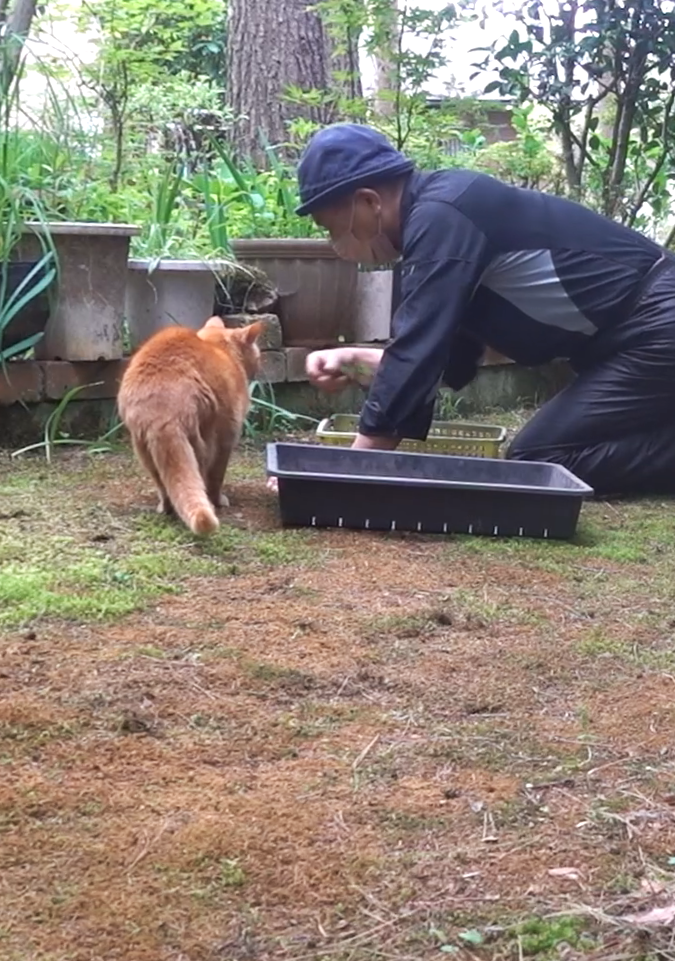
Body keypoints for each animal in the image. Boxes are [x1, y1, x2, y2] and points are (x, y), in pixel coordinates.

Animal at [117, 318, 266, 536]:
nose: (259, 366)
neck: (219, 347)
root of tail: (162, 414)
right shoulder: (227, 437)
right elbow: (217, 477)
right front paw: (219, 500)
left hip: (143, 448)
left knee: (164, 486)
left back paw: (166, 508)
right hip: (203, 443)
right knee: (201, 476)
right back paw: (209, 505)